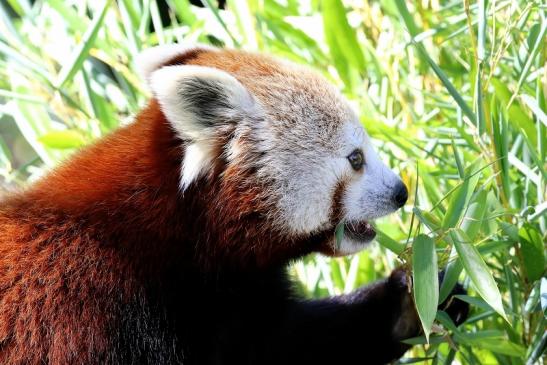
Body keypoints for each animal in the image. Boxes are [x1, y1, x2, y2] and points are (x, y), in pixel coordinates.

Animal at [1, 44, 470, 362]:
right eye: (356, 159)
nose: (400, 192)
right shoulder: (98, 316)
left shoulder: (234, 306)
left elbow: (291, 341)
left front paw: (414, 303)